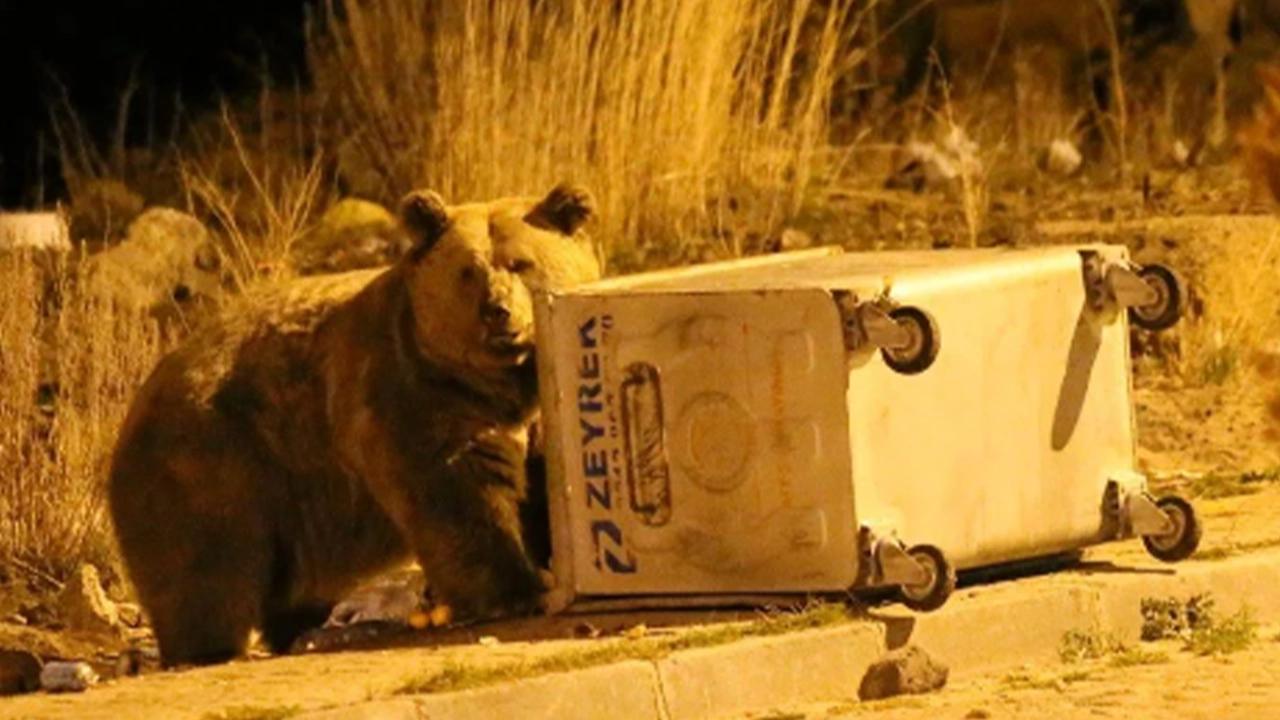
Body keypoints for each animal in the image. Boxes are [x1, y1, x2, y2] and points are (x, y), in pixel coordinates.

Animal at [108, 181, 599, 666]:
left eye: (521, 263)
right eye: (468, 272)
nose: (498, 310)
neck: (502, 382)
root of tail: (133, 406)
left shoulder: (531, 410)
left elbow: (542, 481)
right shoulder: (413, 394)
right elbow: (458, 496)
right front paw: (515, 590)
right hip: (214, 461)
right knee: (208, 566)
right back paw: (210, 648)